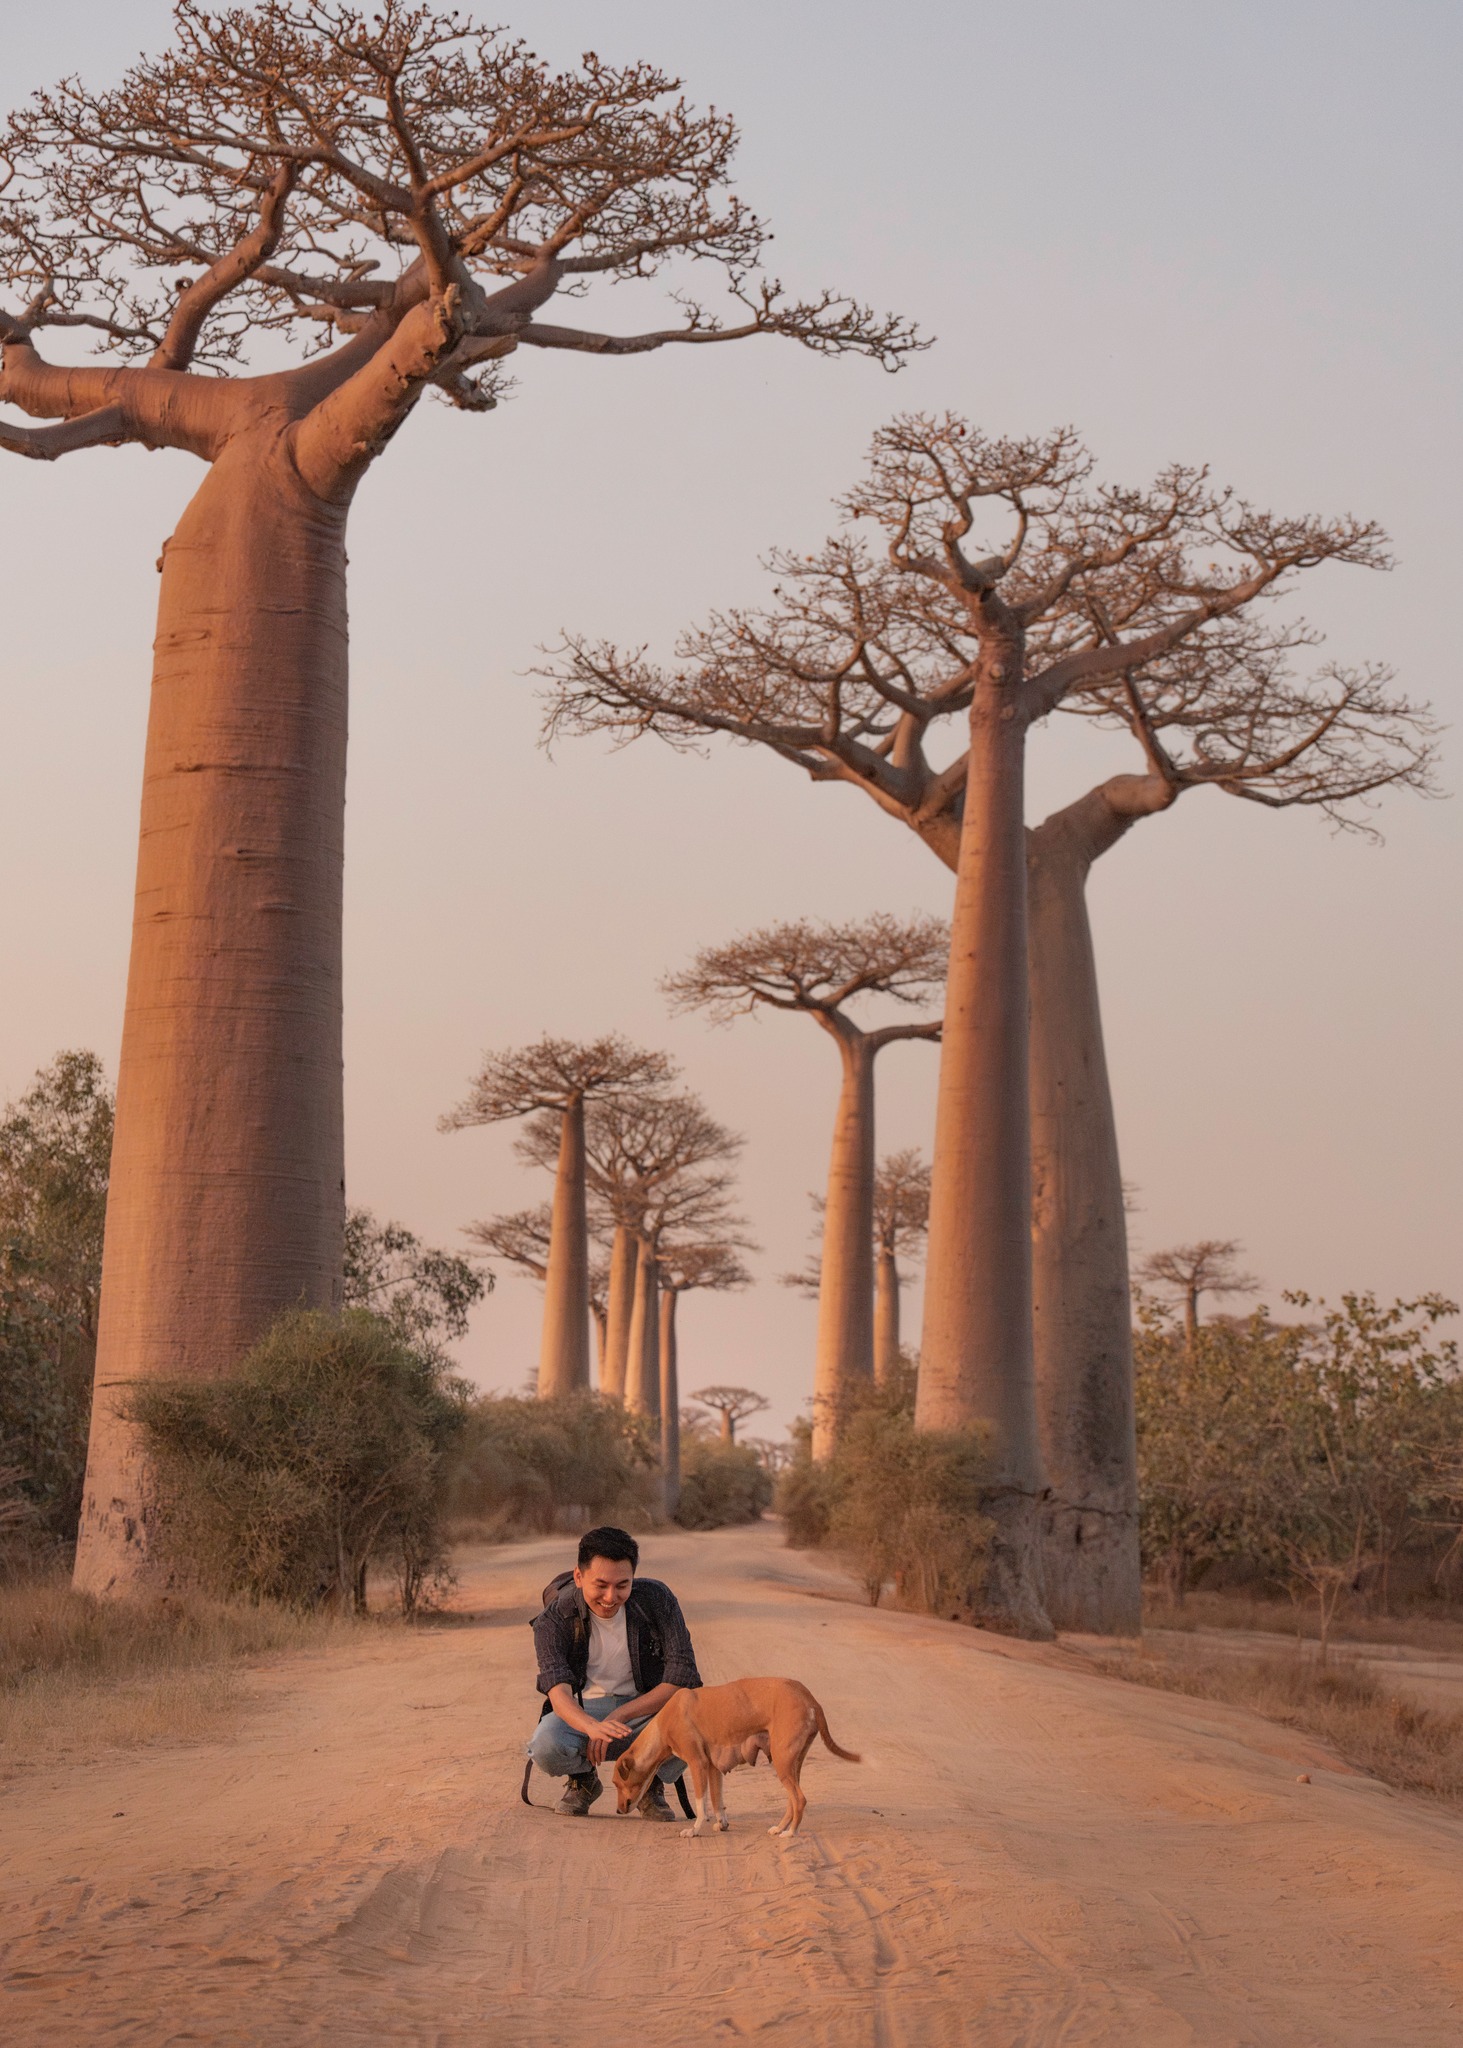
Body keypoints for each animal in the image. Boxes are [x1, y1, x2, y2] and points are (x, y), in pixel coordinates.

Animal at [606, 1679, 856, 1843]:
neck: (664, 1722)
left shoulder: (697, 1764)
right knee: (792, 1801)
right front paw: (722, 1824)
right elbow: (717, 1801)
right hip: (791, 1764)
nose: (617, 1810)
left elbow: (701, 1805)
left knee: (800, 1800)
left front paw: (694, 1830)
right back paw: (779, 1828)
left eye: (617, 1783)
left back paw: (791, 1833)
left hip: (783, 1764)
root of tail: (812, 1701)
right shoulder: (713, 1768)